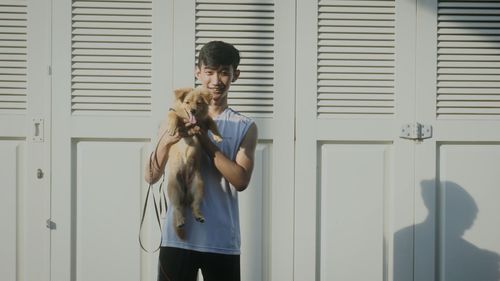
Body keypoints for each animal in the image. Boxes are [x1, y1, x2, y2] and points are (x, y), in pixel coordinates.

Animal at [165, 86, 222, 237]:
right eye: (187, 102)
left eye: (199, 103)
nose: (193, 111)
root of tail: (185, 194)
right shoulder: (174, 114)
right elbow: (172, 115)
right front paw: (172, 127)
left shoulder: (206, 120)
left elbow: (213, 123)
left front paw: (218, 136)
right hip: (174, 188)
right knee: (177, 208)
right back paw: (180, 220)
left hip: (198, 187)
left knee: (194, 205)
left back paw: (199, 216)